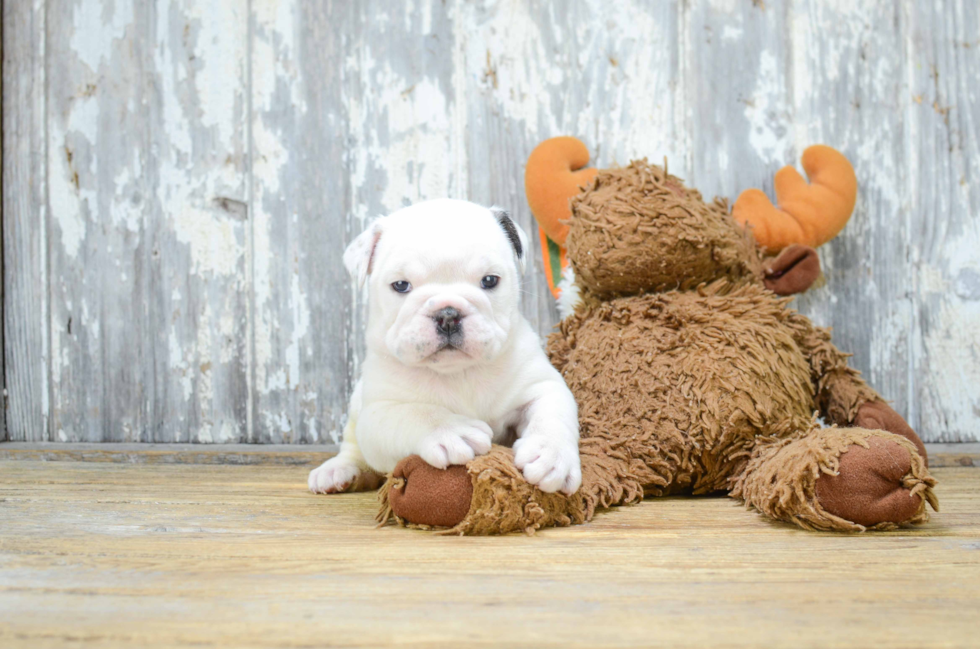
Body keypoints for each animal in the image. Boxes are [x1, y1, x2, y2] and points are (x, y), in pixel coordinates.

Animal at [308, 197, 580, 496]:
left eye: (489, 280)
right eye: (401, 285)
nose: (448, 314)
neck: (458, 371)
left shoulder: (540, 385)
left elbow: (552, 413)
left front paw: (553, 455)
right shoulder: (378, 413)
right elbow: (412, 413)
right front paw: (451, 430)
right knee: (352, 446)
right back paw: (339, 471)